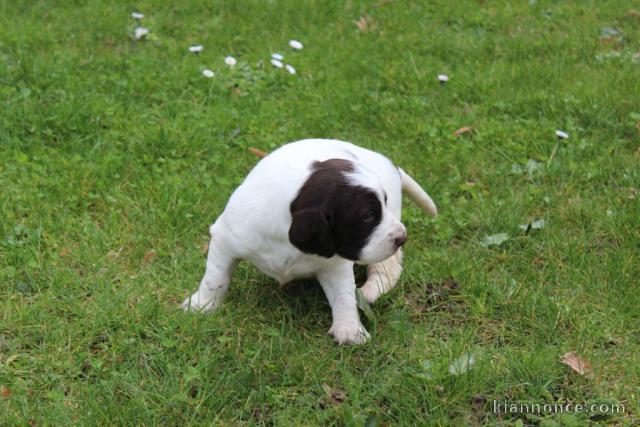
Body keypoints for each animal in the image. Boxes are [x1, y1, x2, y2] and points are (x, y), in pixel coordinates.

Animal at [182, 139, 438, 346]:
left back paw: (371, 290)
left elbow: (344, 295)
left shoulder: (335, 263)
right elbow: (215, 278)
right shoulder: (227, 237)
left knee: (388, 267)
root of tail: (388, 163)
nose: (402, 237)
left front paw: (350, 330)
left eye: (381, 205)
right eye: (366, 217)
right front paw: (202, 305)